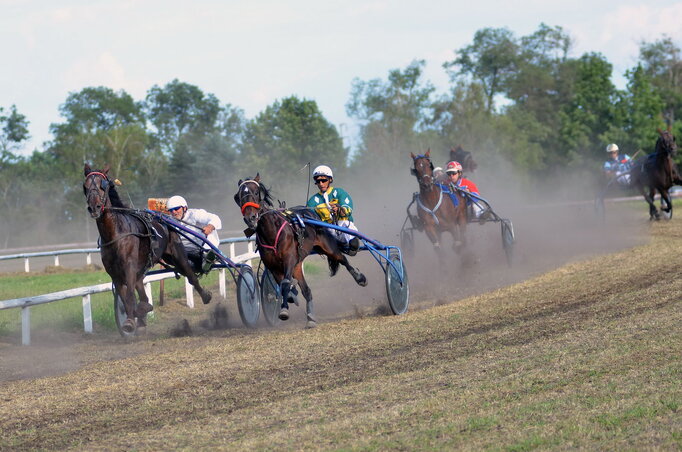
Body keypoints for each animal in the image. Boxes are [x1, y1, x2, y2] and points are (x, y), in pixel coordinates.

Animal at [83, 164, 210, 334]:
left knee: (190, 275)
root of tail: (164, 219)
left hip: (177, 255)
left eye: (103, 185)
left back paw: (205, 295)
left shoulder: (129, 265)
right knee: (142, 289)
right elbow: (124, 296)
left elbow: (130, 294)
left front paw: (131, 320)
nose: (94, 207)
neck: (115, 234)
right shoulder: (114, 272)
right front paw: (133, 317)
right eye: (85, 186)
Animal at [236, 174, 370, 328]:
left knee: (343, 259)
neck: (272, 232)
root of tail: (312, 214)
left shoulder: (289, 259)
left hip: (328, 247)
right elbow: (284, 285)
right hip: (298, 264)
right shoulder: (273, 266)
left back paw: (360, 277)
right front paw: (291, 296)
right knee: (307, 290)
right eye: (238, 196)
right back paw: (310, 317)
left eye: (256, 192)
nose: (250, 218)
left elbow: (285, 283)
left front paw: (284, 309)